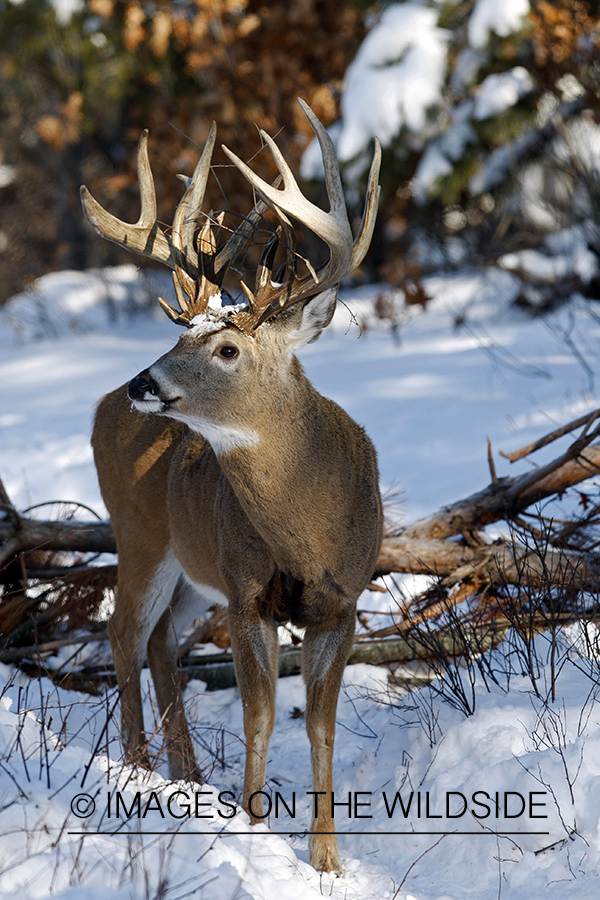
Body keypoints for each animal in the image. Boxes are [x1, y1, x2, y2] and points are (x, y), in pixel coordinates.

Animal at [81, 100, 380, 872]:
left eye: (226, 346)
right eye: (181, 332)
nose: (143, 382)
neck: (309, 533)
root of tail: (100, 408)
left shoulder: (343, 602)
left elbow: (321, 726)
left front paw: (327, 859)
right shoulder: (247, 592)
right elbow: (260, 714)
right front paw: (253, 827)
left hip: (192, 568)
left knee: (161, 642)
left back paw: (185, 775)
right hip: (140, 535)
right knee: (125, 631)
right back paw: (138, 771)